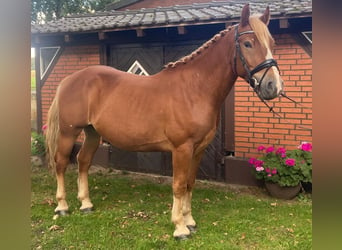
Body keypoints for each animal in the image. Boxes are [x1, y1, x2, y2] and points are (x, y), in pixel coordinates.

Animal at [45, 4, 284, 240]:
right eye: (247, 43)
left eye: (272, 43)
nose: (274, 86)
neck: (194, 89)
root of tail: (69, 80)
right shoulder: (182, 148)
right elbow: (178, 185)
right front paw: (179, 227)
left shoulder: (199, 149)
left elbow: (189, 183)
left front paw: (190, 221)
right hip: (68, 132)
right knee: (61, 163)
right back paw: (62, 206)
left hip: (92, 133)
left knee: (83, 161)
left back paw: (86, 204)